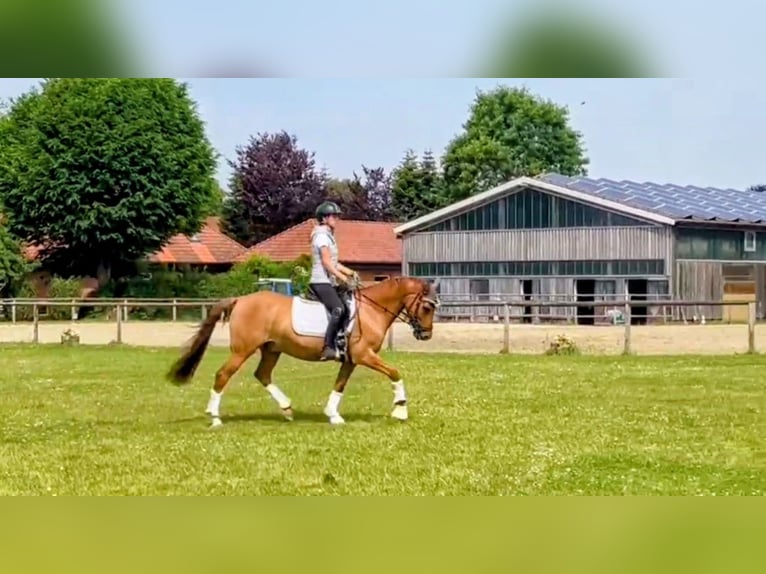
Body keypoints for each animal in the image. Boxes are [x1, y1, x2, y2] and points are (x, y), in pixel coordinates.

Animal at [165, 276, 440, 426]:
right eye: (427, 307)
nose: (426, 335)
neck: (371, 310)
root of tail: (240, 299)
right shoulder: (365, 355)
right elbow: (395, 373)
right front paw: (400, 410)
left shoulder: (351, 360)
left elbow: (339, 384)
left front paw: (333, 415)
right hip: (242, 350)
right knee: (223, 375)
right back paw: (215, 418)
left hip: (271, 349)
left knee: (262, 374)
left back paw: (287, 409)